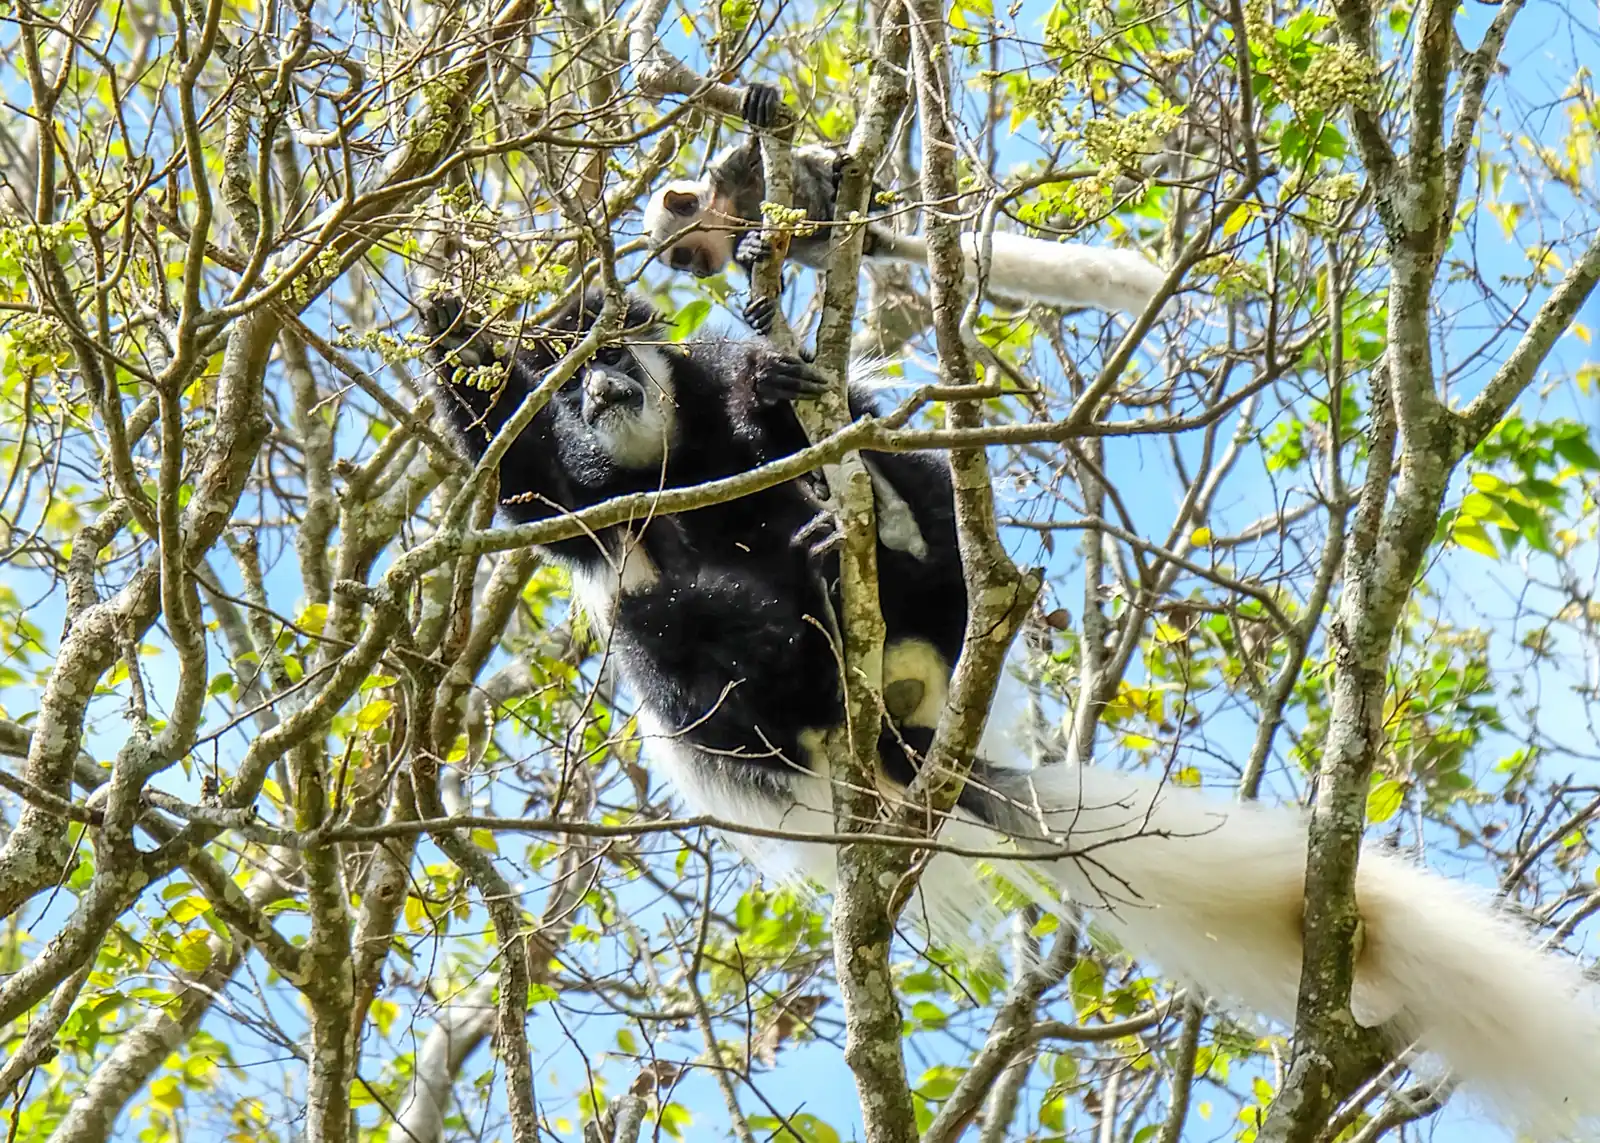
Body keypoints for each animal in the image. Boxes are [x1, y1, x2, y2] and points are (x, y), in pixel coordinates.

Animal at [422, 291, 1600, 1140]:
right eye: (570, 375)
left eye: (612, 353)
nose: (600, 382)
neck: (669, 456)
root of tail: (899, 733)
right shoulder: (579, 499)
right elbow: (514, 479)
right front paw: (446, 314)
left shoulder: (705, 387)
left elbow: (796, 408)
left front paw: (774, 388)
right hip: (737, 715)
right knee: (660, 622)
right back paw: (780, 639)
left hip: (931, 615)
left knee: (899, 486)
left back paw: (876, 544)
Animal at [643, 83, 1169, 318]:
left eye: (682, 256)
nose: (697, 274)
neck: (731, 211)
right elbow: (757, 257)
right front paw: (755, 263)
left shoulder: (729, 172)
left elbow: (766, 151)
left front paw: (760, 104)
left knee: (822, 170)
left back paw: (853, 184)